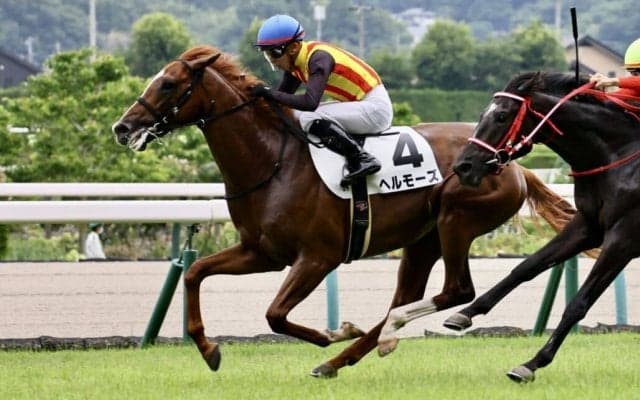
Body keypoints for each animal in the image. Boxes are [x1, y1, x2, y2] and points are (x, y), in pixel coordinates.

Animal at [111, 46, 574, 378]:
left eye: (168, 84)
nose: (122, 127)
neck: (273, 162)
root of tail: (510, 162)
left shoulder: (318, 257)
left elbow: (275, 315)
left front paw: (333, 332)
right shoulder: (261, 252)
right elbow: (194, 272)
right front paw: (208, 349)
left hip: (455, 221)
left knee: (456, 291)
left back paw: (359, 345)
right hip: (423, 239)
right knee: (403, 299)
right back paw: (355, 353)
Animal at [448, 71, 640, 383]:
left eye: (501, 116)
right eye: (481, 115)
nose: (463, 166)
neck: (617, 156)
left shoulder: (624, 239)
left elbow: (578, 303)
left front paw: (532, 362)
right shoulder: (588, 226)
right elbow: (526, 266)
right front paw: (465, 312)